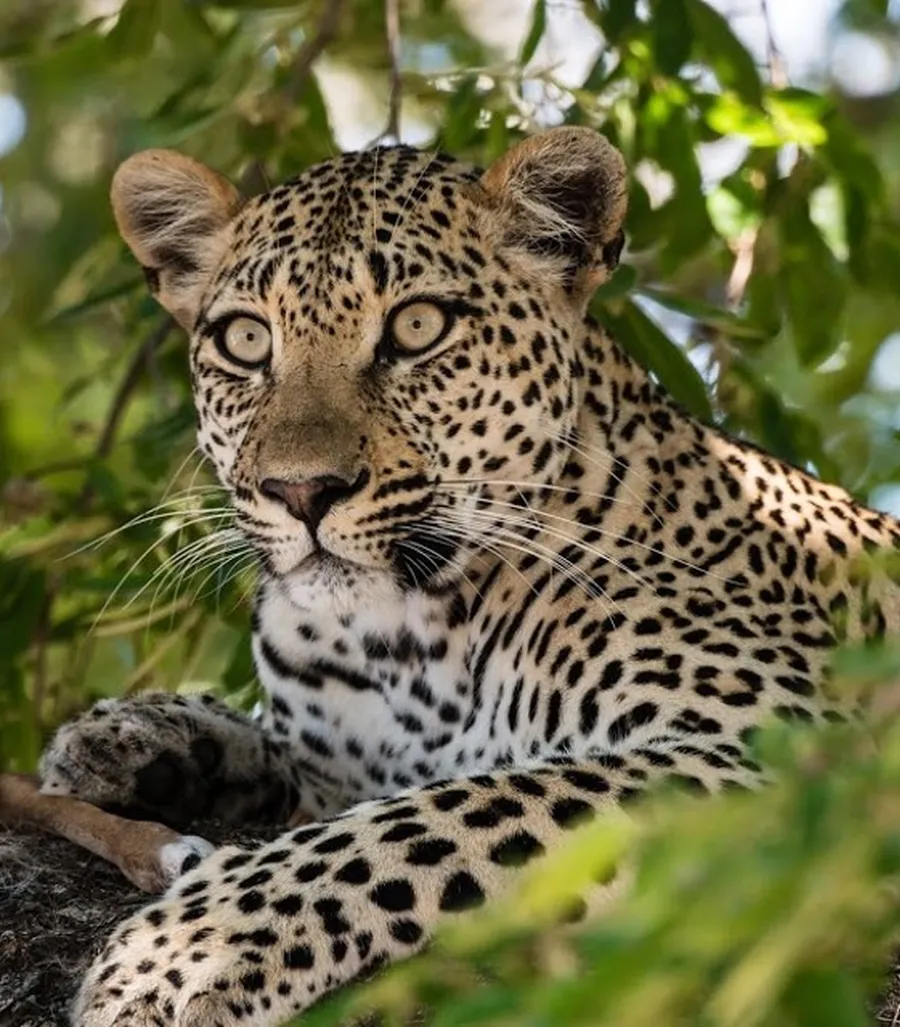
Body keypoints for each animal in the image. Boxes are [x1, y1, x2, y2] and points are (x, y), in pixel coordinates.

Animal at [38, 127, 900, 1027]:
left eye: (417, 327)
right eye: (246, 341)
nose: (301, 490)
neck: (400, 639)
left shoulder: (782, 745)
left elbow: (415, 823)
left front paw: (182, 953)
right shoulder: (340, 762)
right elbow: (291, 754)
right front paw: (133, 734)